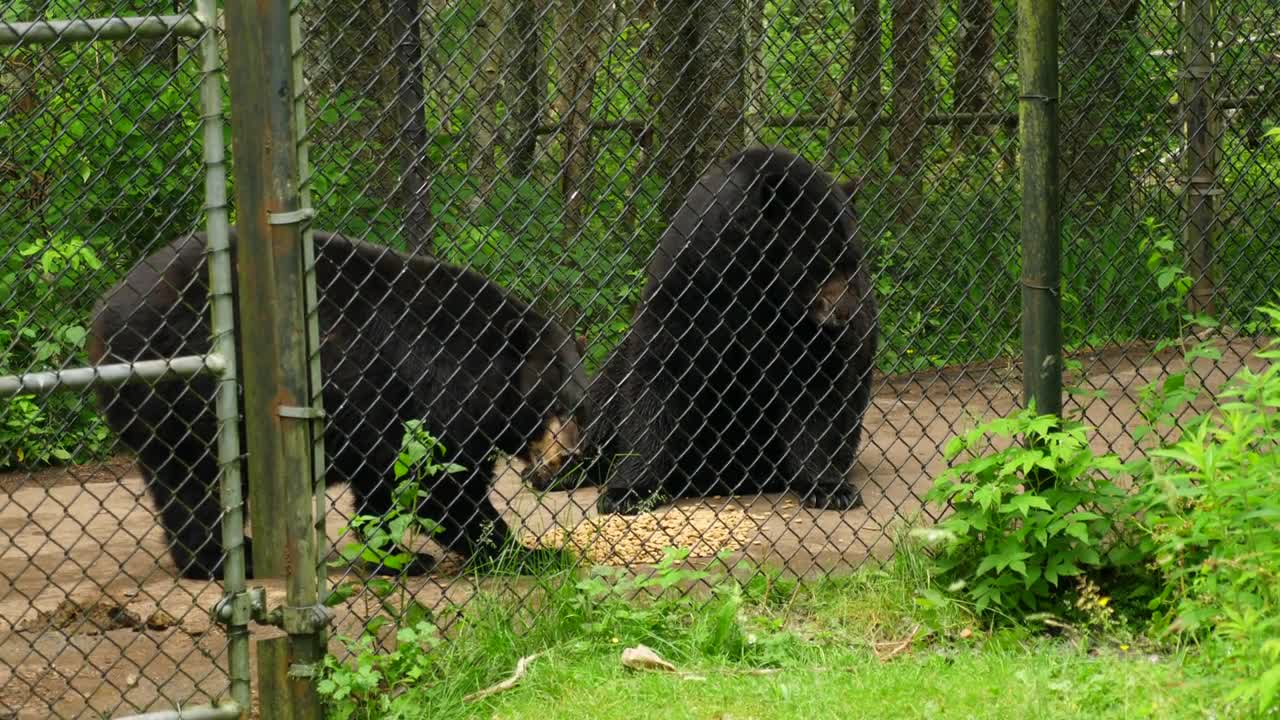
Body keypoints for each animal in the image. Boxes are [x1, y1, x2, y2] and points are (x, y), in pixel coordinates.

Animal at [87, 228, 586, 576]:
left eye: (580, 404)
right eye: (559, 405)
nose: (567, 458)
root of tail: (104, 311)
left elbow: (386, 486)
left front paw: (397, 557)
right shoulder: (439, 386)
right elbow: (440, 482)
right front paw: (526, 553)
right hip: (186, 390)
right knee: (198, 483)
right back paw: (226, 559)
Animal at [560, 146, 880, 512]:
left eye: (854, 261)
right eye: (824, 261)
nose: (847, 313)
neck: (757, 281)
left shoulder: (803, 331)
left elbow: (816, 387)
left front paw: (829, 487)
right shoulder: (690, 282)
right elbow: (658, 376)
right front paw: (625, 491)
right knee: (606, 391)